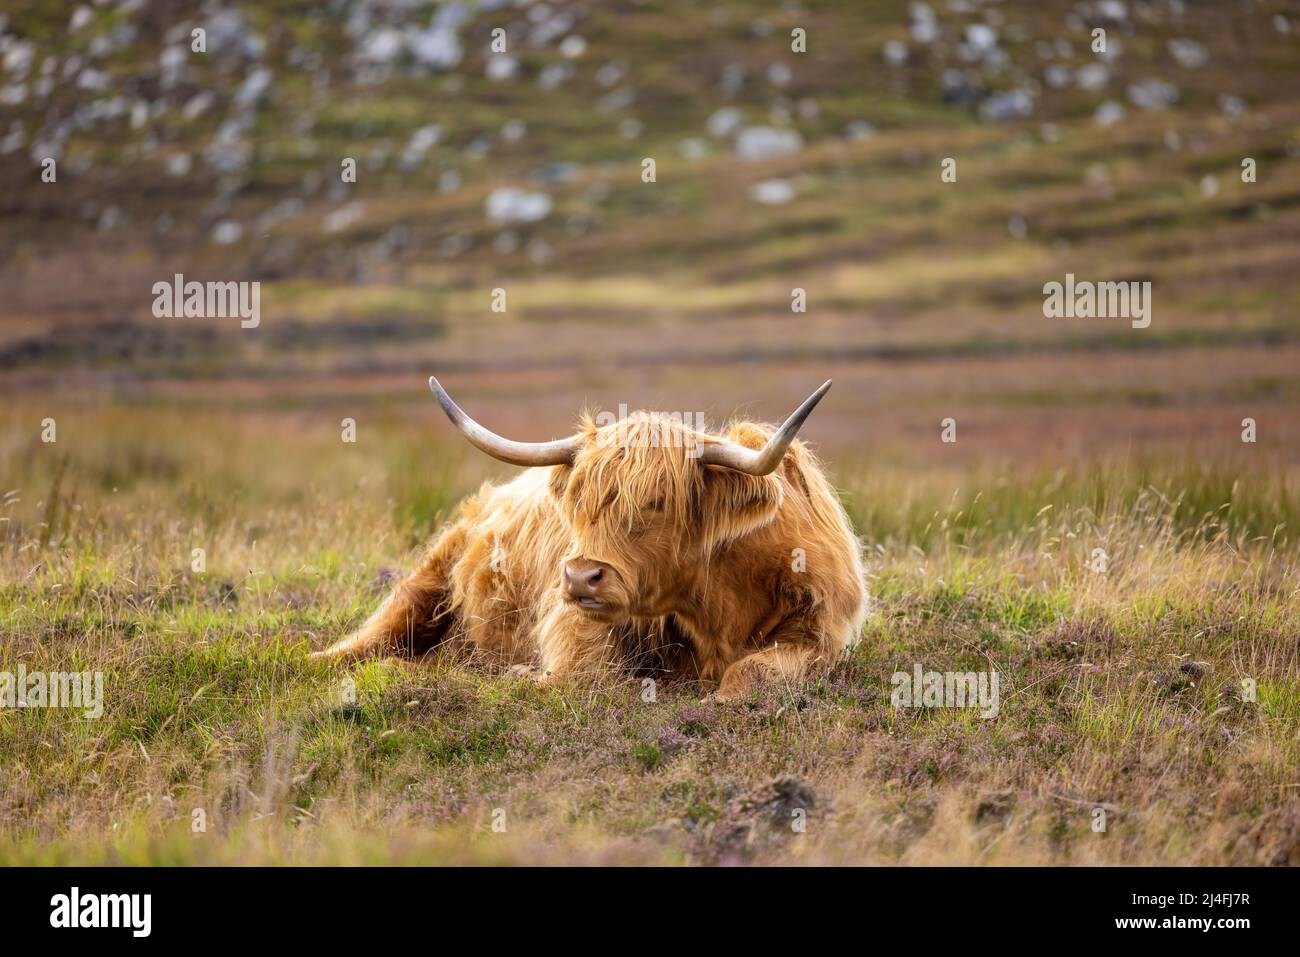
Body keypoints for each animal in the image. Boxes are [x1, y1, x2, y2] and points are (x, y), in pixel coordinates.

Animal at [312, 374, 863, 696]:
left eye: (658, 502)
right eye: (580, 502)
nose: (580, 576)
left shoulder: (821, 631)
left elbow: (750, 673)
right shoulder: (577, 622)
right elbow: (584, 674)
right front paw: (521, 673)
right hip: (424, 584)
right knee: (367, 643)